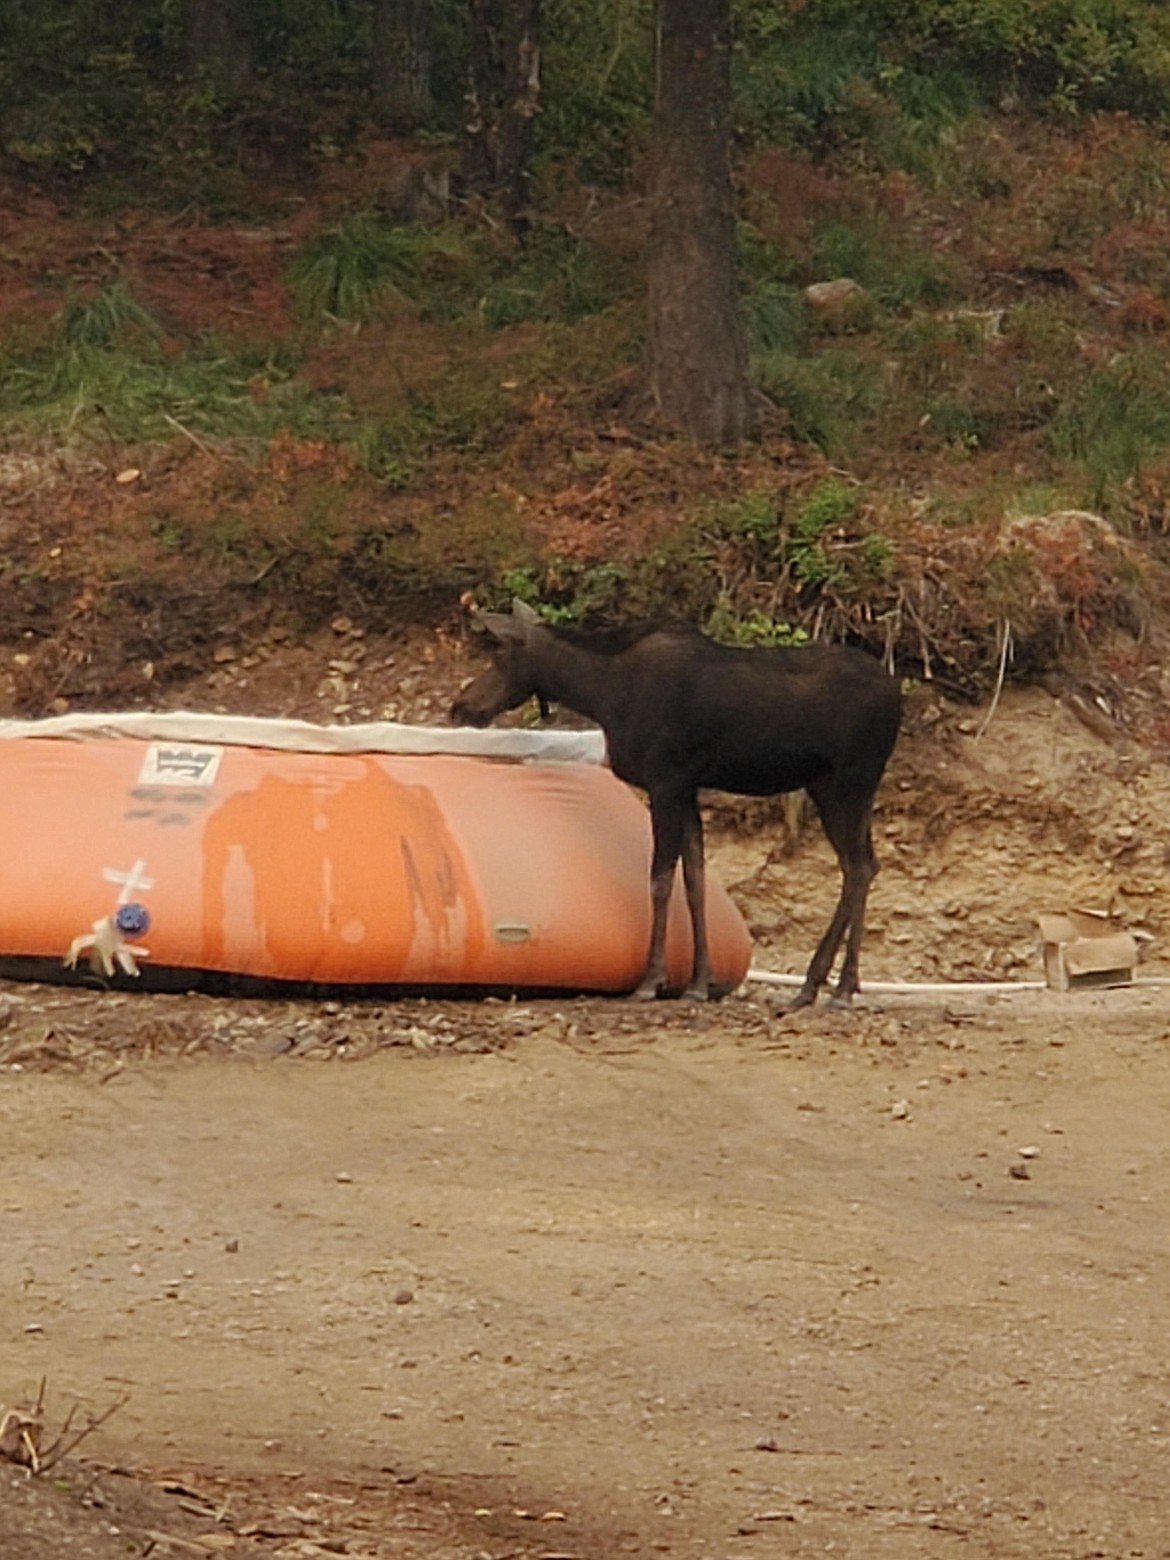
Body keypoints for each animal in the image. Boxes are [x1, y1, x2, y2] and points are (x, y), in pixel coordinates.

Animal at [452, 595, 904, 1010]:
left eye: (499, 655)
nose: (460, 707)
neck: (602, 694)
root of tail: (897, 699)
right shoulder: (686, 786)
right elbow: (695, 879)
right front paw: (699, 982)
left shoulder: (665, 781)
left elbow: (660, 879)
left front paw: (651, 980)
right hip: (840, 788)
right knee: (865, 864)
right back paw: (825, 985)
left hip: (847, 782)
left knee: (857, 866)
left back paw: (836, 987)